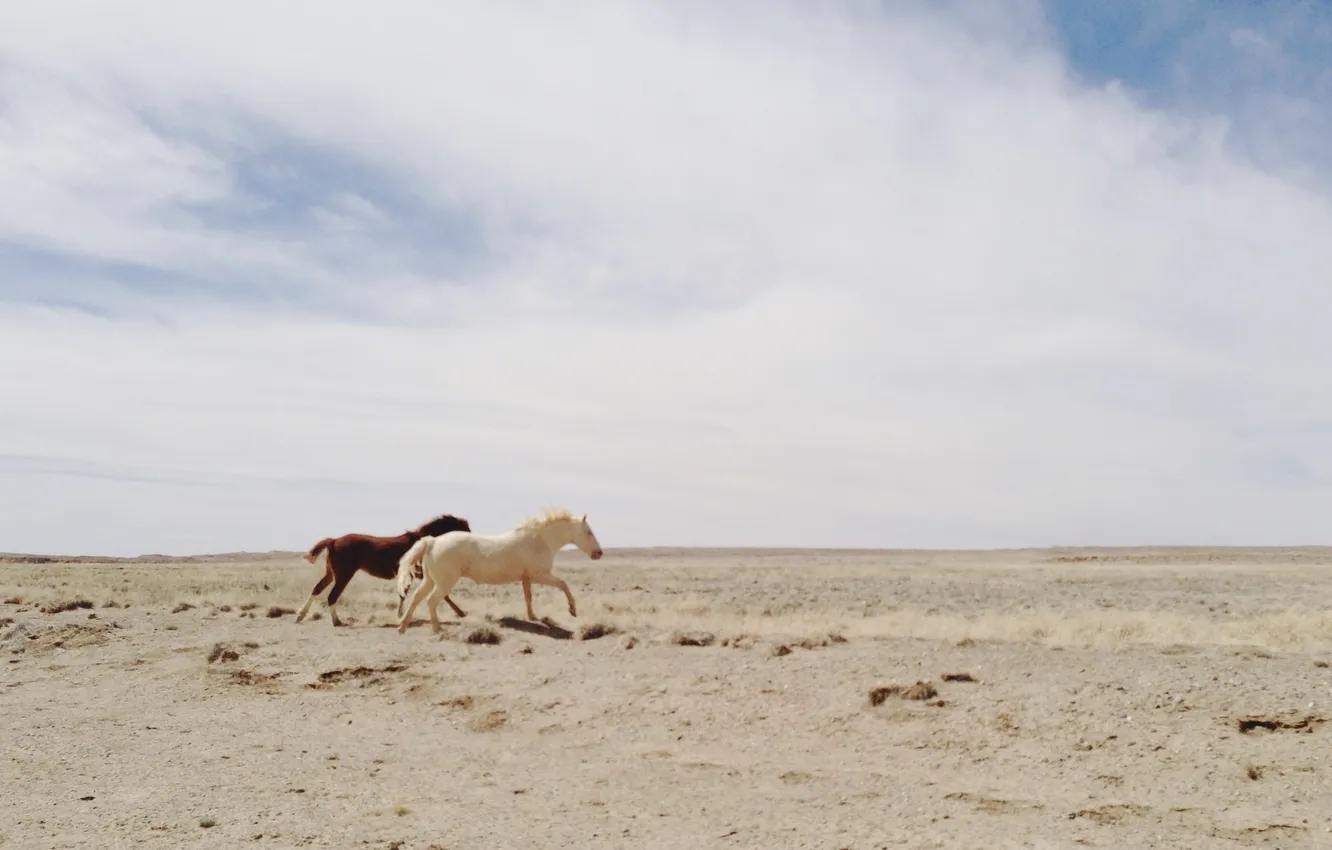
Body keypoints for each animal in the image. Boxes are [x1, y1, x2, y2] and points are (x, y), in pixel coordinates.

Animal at [295, 513, 472, 627]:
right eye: (464, 528)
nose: (473, 540)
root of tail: (334, 541)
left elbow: (403, 594)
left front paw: (400, 615)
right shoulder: (421, 574)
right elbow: (443, 593)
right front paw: (461, 613)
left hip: (331, 573)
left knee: (317, 589)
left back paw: (301, 615)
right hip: (344, 574)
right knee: (332, 596)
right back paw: (336, 621)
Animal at [395, 508, 603, 634]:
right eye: (588, 532)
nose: (599, 553)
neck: (540, 540)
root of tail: (433, 541)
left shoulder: (526, 578)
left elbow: (528, 597)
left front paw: (533, 617)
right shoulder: (540, 575)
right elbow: (563, 584)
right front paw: (572, 610)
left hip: (430, 580)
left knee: (416, 598)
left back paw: (402, 626)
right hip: (445, 582)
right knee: (431, 601)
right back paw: (437, 628)